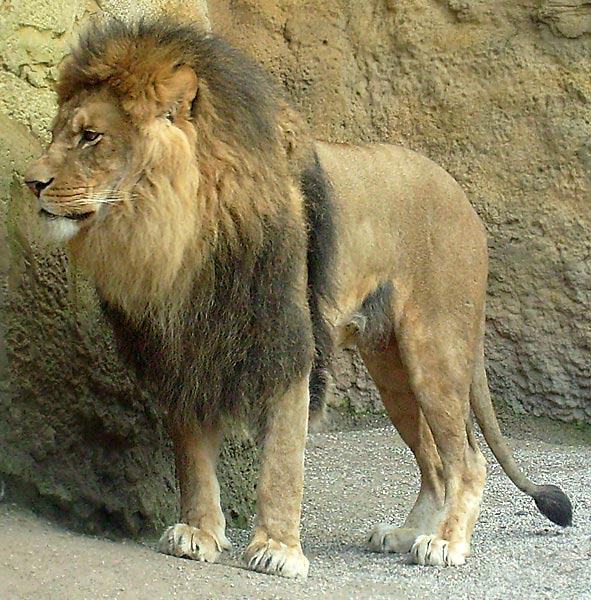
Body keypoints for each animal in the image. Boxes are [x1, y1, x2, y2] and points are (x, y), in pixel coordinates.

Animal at [24, 21, 572, 580]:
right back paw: (404, 534)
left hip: (435, 350)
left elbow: (282, 459)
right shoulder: (187, 345)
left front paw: (277, 549)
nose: (32, 182)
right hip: (390, 365)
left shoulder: (287, 337)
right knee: (437, 462)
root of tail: (463, 196)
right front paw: (198, 532)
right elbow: (192, 454)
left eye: (91, 136)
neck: (179, 229)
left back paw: (445, 544)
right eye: (58, 132)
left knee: (468, 460)